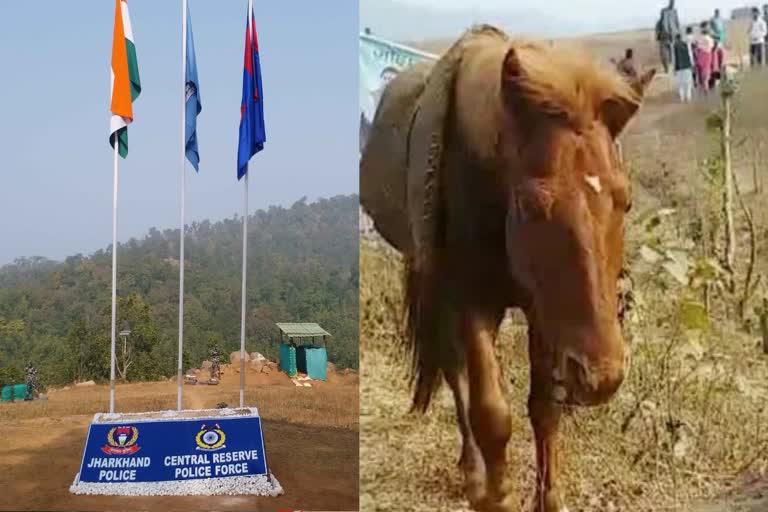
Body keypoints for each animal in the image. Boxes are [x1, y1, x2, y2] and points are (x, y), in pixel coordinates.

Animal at [360, 26, 656, 512]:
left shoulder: (543, 310)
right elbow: (491, 413)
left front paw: (549, 498)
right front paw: (496, 495)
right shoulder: (470, 299)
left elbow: (545, 407)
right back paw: (472, 470)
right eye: (533, 204)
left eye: (626, 201)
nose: (599, 377)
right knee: (455, 373)